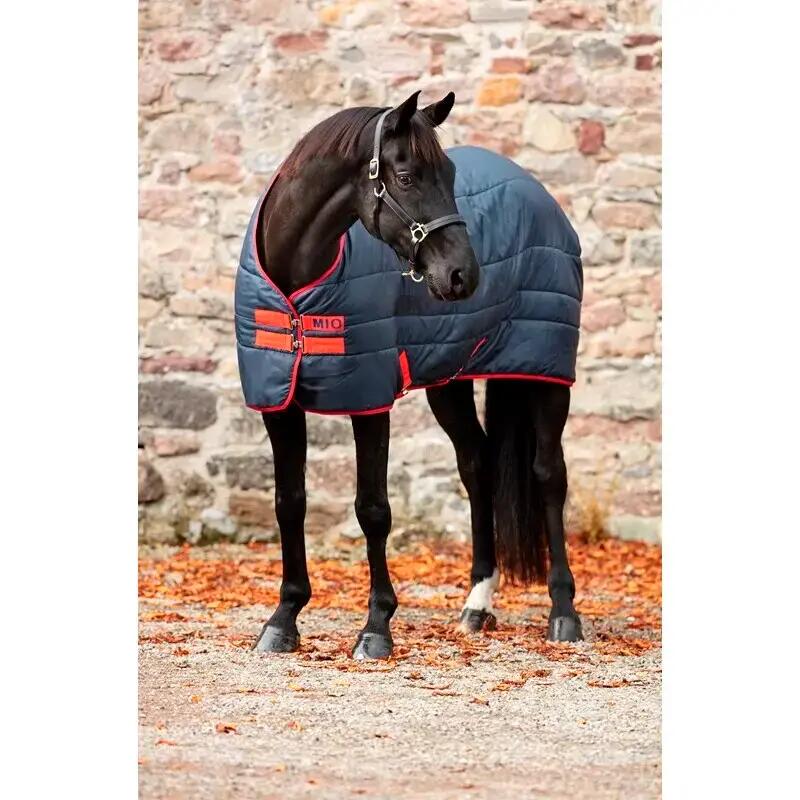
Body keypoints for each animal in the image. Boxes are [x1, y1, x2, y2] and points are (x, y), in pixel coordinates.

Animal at [235, 91, 584, 660]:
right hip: (450, 379)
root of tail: (538, 193)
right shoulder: (277, 403)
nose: (464, 274)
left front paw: (376, 627)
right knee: (478, 465)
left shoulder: (369, 397)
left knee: (549, 474)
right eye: (405, 176)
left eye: (450, 173)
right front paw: (283, 619)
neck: (297, 283)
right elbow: (289, 503)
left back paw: (564, 613)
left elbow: (373, 509)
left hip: (545, 371)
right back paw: (477, 605)